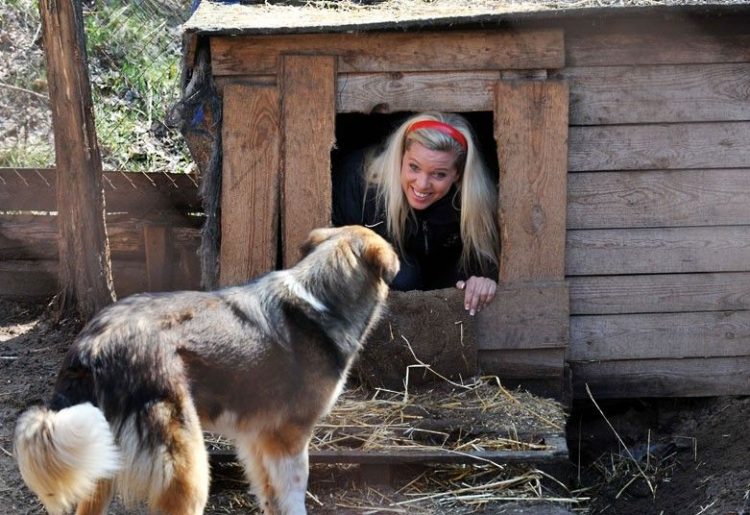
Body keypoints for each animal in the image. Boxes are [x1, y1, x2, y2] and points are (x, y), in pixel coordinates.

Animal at [14, 226, 400, 515]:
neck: (321, 300)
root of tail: (92, 345)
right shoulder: (289, 438)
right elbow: (293, 497)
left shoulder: (258, 439)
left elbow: (269, 495)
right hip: (189, 469)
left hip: (101, 463)